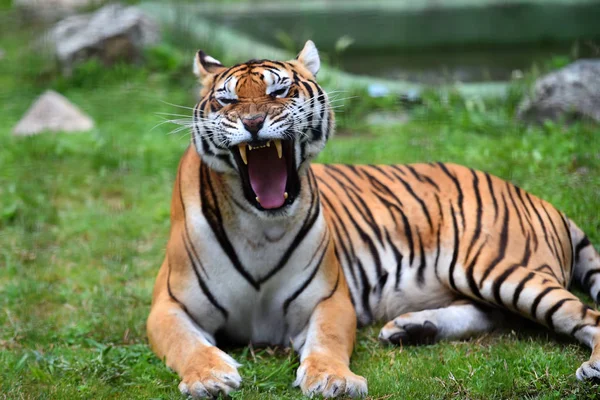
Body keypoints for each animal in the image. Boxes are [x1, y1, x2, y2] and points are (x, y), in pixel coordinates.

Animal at [148, 40, 600, 396]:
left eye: (280, 90)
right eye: (226, 101)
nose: (254, 122)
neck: (262, 225)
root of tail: (534, 196)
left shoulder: (329, 299)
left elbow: (327, 341)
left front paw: (334, 379)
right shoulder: (168, 305)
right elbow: (187, 344)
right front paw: (209, 377)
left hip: (495, 266)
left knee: (583, 315)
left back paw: (592, 366)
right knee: (494, 315)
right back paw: (413, 328)